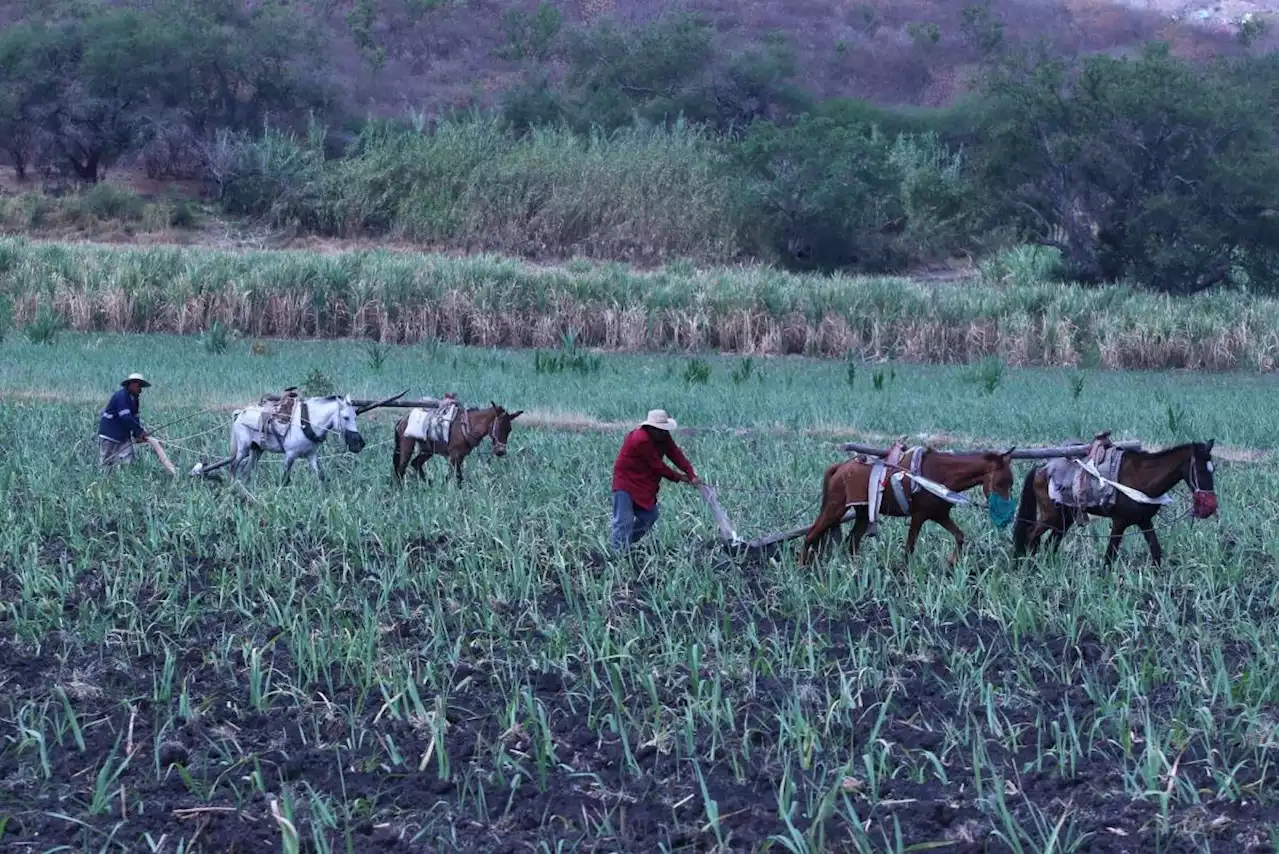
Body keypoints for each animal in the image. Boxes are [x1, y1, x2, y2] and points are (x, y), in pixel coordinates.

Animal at [394, 402, 524, 486]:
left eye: (509, 429)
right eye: (497, 427)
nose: (501, 451)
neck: (467, 426)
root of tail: (403, 420)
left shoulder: (461, 456)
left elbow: (458, 477)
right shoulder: (454, 455)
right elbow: (453, 476)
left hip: (428, 450)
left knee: (416, 463)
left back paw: (428, 485)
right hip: (407, 446)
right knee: (401, 469)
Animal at [793, 448, 1013, 568]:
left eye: (1011, 483)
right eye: (1001, 482)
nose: (1007, 519)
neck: (939, 476)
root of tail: (840, 467)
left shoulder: (940, 515)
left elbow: (960, 536)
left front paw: (951, 563)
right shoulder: (919, 516)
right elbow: (909, 548)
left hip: (862, 514)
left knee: (852, 543)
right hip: (835, 508)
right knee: (811, 535)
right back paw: (802, 568)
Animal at [1008, 440, 1218, 568]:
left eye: (1213, 469)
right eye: (1200, 469)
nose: (1210, 507)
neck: (1143, 479)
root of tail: (1041, 468)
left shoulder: (1144, 521)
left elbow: (1156, 551)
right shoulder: (1119, 522)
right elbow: (1110, 557)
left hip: (1064, 517)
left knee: (1051, 542)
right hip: (1050, 515)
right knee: (1030, 536)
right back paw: (1025, 566)